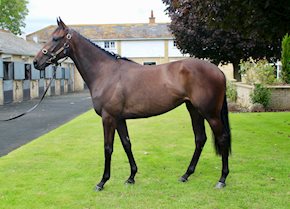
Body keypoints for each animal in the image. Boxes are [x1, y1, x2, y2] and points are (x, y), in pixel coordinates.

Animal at [32, 18, 231, 191]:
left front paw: (102, 182)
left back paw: (222, 179)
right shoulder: (119, 119)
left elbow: (108, 148)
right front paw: (131, 177)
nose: (36, 62)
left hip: (210, 113)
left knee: (222, 138)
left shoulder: (108, 118)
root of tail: (218, 71)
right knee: (200, 139)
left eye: (55, 38)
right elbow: (127, 144)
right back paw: (186, 175)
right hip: (194, 110)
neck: (105, 72)